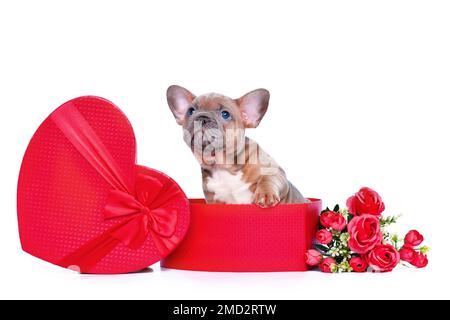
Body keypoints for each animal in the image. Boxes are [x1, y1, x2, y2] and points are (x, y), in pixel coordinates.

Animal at [167, 85, 308, 206]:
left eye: (225, 114)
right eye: (190, 111)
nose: (202, 117)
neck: (223, 166)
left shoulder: (273, 171)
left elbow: (268, 180)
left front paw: (265, 194)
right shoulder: (214, 200)